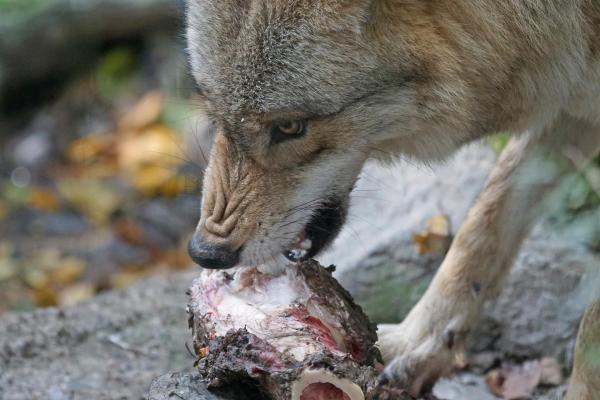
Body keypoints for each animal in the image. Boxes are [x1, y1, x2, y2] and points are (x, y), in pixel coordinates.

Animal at [185, 0, 596, 396]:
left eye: (289, 127)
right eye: (214, 112)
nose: (206, 253)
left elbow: (589, 326)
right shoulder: (568, 104)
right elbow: (481, 228)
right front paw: (415, 346)